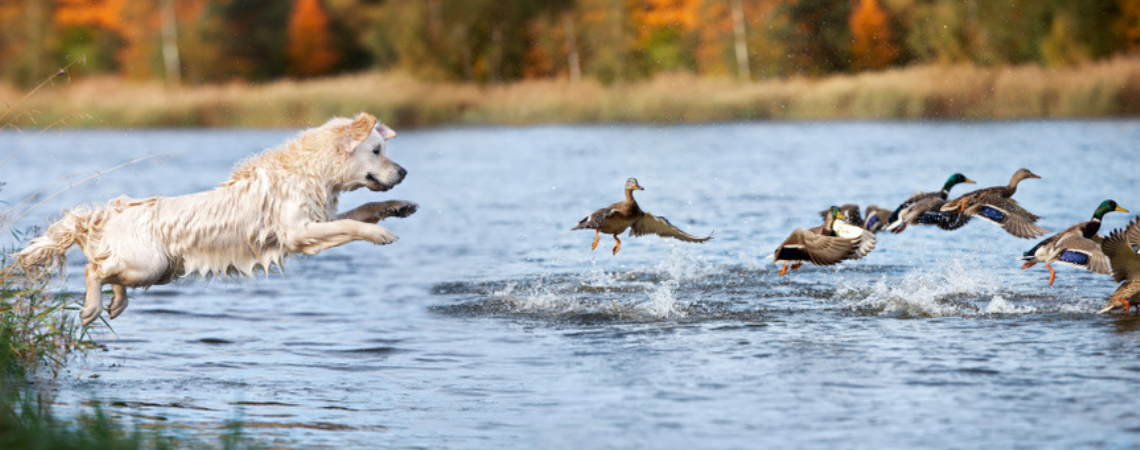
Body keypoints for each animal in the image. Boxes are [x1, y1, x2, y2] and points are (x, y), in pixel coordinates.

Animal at [15, 111, 417, 325]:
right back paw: (92, 307)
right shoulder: (298, 234)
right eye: (377, 150)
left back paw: (116, 303)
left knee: (108, 272)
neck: (308, 172)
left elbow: (361, 212)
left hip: (158, 271)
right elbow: (350, 225)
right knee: (92, 269)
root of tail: (107, 216)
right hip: (148, 264)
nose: (404, 172)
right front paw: (381, 236)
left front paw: (398, 207)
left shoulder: (316, 221)